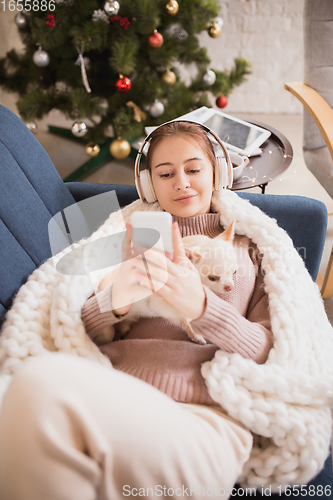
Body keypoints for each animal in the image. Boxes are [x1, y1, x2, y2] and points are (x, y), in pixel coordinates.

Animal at [94, 221, 237, 346]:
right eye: (213, 278)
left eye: (235, 272)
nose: (230, 287)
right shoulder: (158, 305)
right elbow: (184, 318)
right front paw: (194, 334)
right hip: (108, 331)